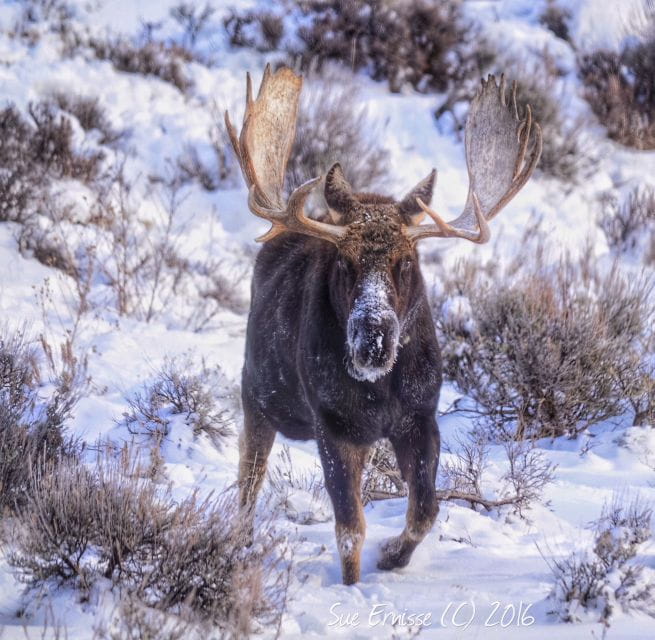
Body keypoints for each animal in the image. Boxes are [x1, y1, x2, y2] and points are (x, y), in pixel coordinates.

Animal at [225, 65, 541, 586]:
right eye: (343, 261)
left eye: (407, 261)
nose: (373, 338)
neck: (380, 390)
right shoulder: (333, 426)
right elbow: (350, 530)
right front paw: (355, 583)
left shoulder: (419, 417)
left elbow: (424, 511)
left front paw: (392, 555)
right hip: (257, 396)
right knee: (248, 483)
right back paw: (239, 542)